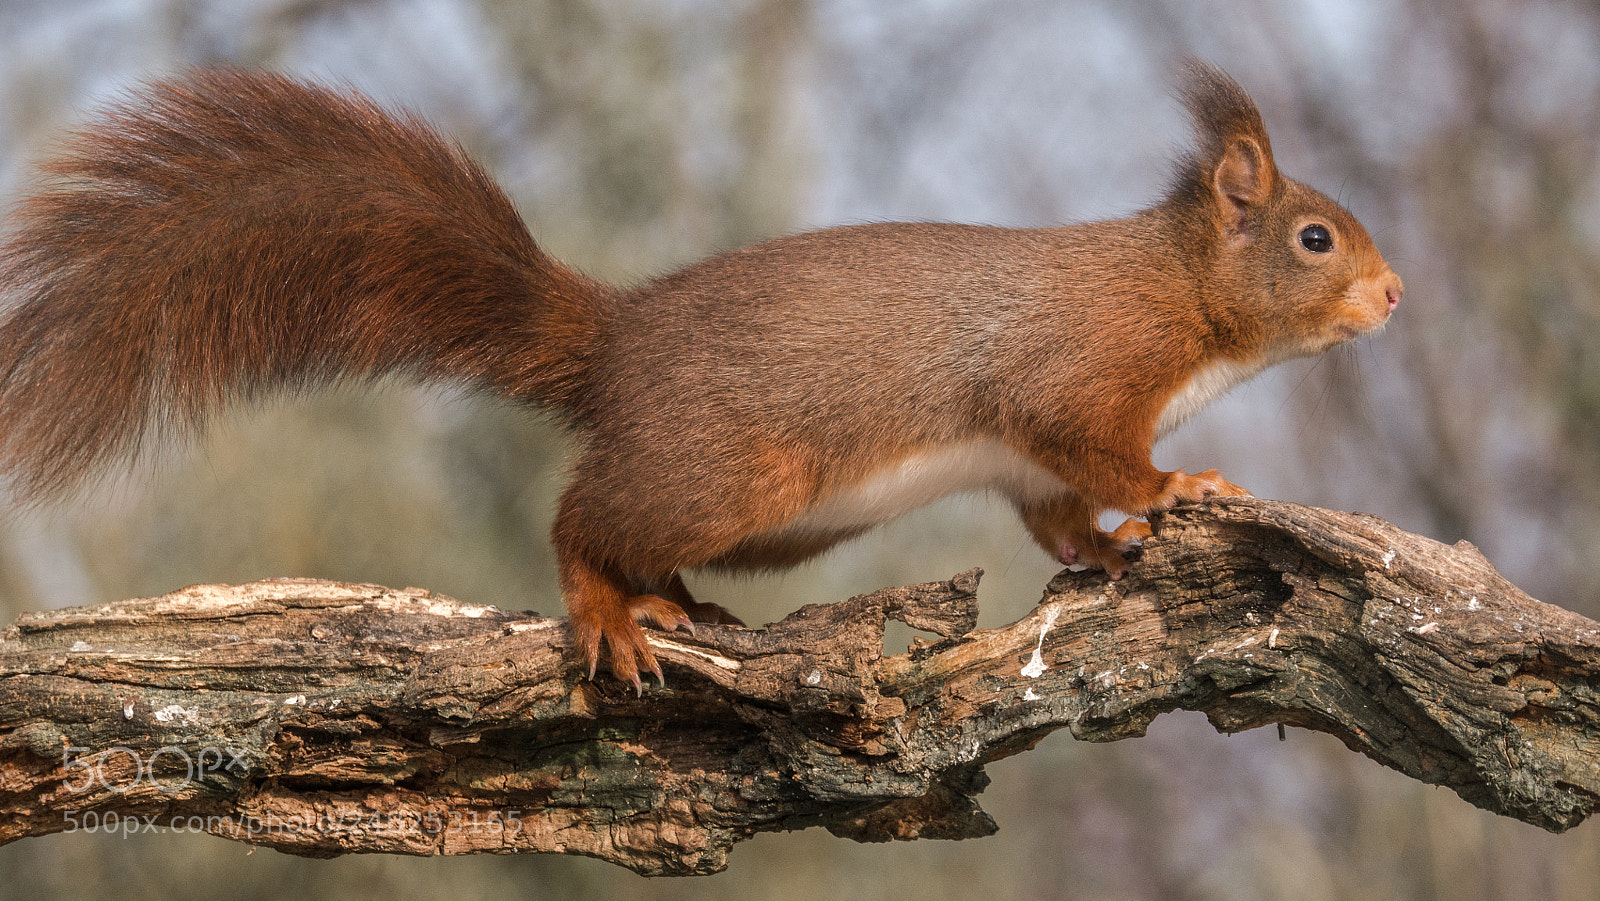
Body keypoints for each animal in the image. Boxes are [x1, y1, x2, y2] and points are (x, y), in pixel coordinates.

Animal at [0, 62, 1401, 691]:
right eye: (1314, 237)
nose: (1394, 296)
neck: (1181, 294)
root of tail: (614, 346)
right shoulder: (1080, 372)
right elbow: (1104, 451)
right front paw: (1179, 488)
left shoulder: (1029, 464)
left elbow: (1059, 515)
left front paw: (1111, 550)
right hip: (733, 471)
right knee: (581, 519)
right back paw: (611, 610)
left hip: (777, 520)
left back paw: (679, 605)